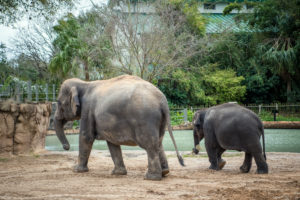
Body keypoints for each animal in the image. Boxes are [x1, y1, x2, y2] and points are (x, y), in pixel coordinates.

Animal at [54, 74, 185, 180]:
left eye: (58, 102)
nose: (66, 147)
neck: (84, 83)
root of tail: (162, 100)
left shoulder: (88, 110)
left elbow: (86, 136)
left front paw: (76, 170)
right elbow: (112, 143)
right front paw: (118, 173)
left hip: (146, 119)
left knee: (150, 145)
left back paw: (151, 177)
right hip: (159, 120)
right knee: (158, 142)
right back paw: (164, 172)